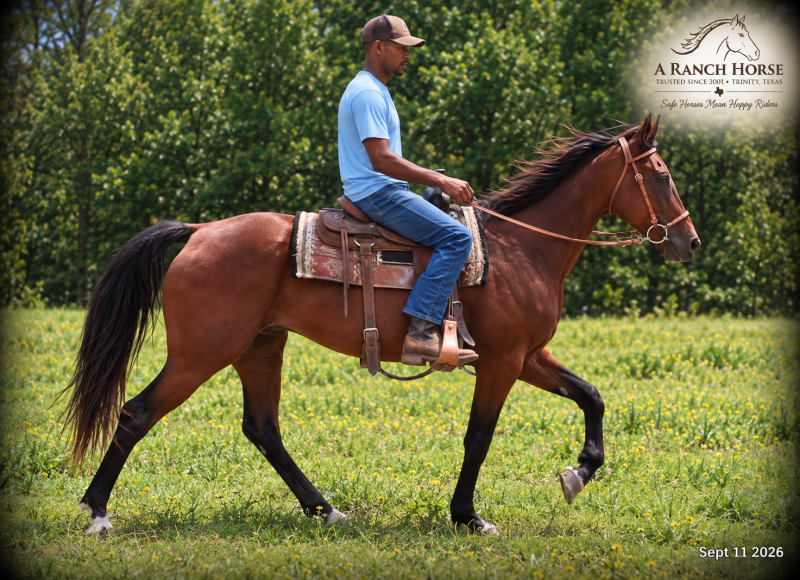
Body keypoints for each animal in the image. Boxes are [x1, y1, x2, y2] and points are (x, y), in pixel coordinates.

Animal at [63, 113, 700, 535]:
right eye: (661, 175)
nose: (689, 242)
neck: (521, 249)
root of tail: (198, 232)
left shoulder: (528, 356)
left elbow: (591, 396)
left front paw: (580, 471)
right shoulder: (501, 361)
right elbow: (479, 436)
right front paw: (468, 517)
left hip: (260, 347)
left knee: (263, 429)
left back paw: (324, 509)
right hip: (200, 354)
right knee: (137, 413)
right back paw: (97, 511)